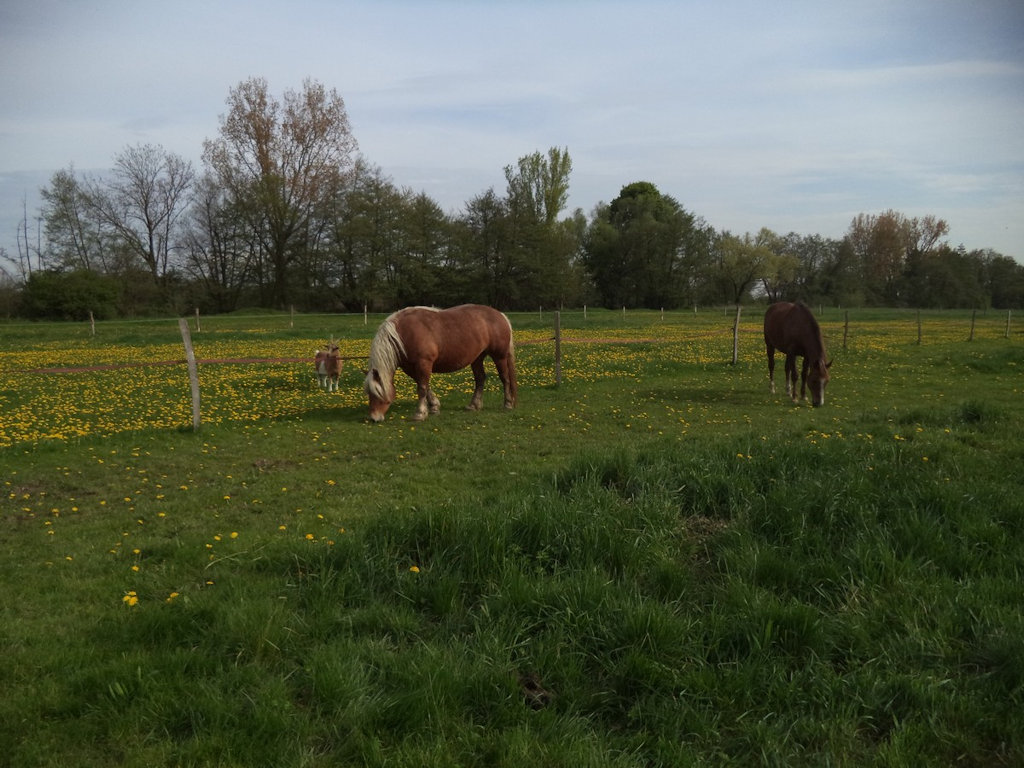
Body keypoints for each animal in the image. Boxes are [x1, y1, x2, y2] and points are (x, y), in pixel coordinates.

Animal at [363, 304, 517, 422]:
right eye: (368, 393)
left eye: (378, 391)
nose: (374, 418)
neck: (403, 333)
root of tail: (500, 315)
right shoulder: (410, 367)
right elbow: (424, 386)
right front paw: (434, 406)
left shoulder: (423, 363)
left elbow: (422, 388)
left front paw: (420, 413)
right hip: (477, 358)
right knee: (480, 379)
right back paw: (473, 405)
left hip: (499, 356)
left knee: (505, 378)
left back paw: (508, 403)